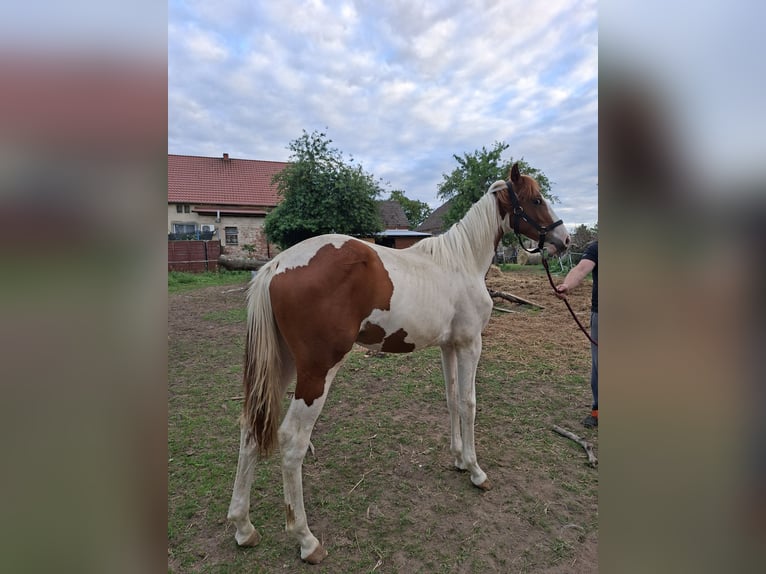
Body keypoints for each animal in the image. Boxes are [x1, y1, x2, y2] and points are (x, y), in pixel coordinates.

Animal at [227, 163, 571, 564]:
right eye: (536, 200)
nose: (564, 239)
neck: (461, 261)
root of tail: (277, 265)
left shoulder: (449, 346)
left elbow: (451, 400)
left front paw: (457, 458)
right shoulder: (471, 344)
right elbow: (469, 403)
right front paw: (475, 470)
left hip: (282, 365)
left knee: (251, 427)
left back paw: (243, 527)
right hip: (317, 372)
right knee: (292, 439)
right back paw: (306, 540)